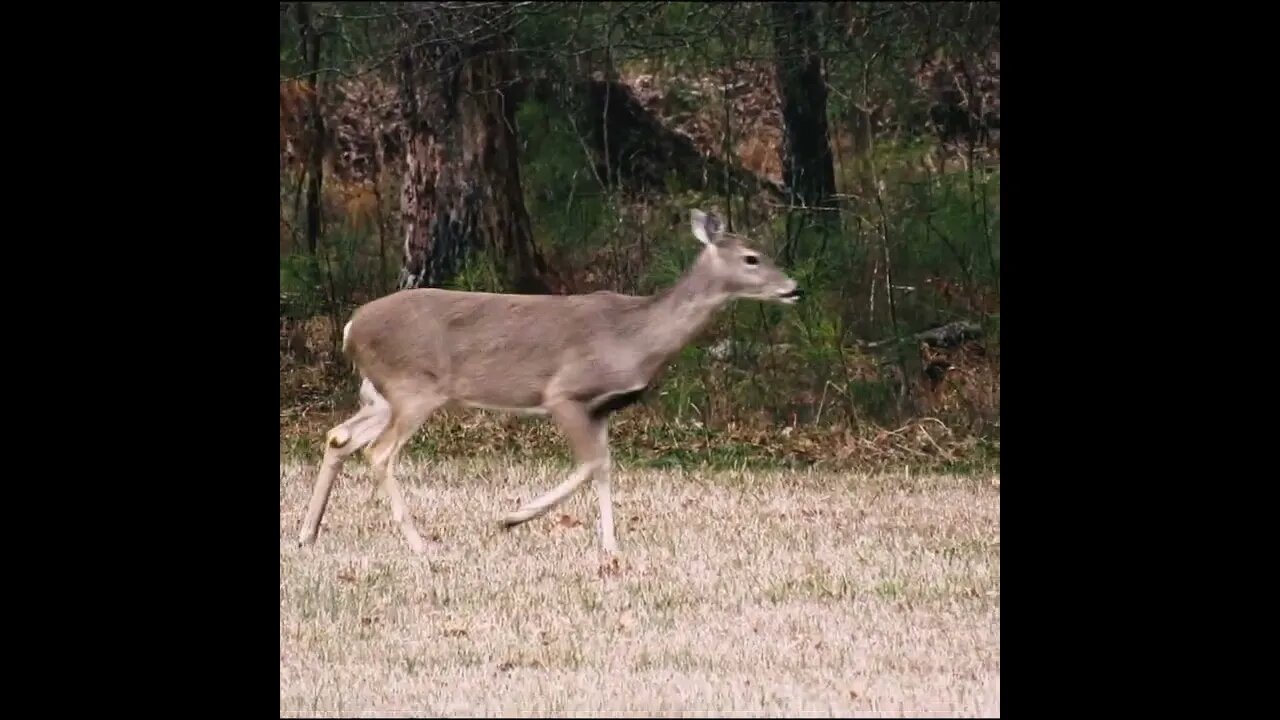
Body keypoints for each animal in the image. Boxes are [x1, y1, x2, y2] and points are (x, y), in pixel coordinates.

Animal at [296, 209, 803, 557]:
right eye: (752, 258)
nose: (794, 288)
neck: (636, 337)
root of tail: (350, 328)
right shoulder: (565, 393)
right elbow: (589, 464)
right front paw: (511, 517)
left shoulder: (602, 408)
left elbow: (604, 467)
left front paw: (610, 545)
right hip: (413, 387)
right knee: (379, 453)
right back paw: (420, 544)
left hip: (381, 393)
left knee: (339, 436)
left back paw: (307, 532)